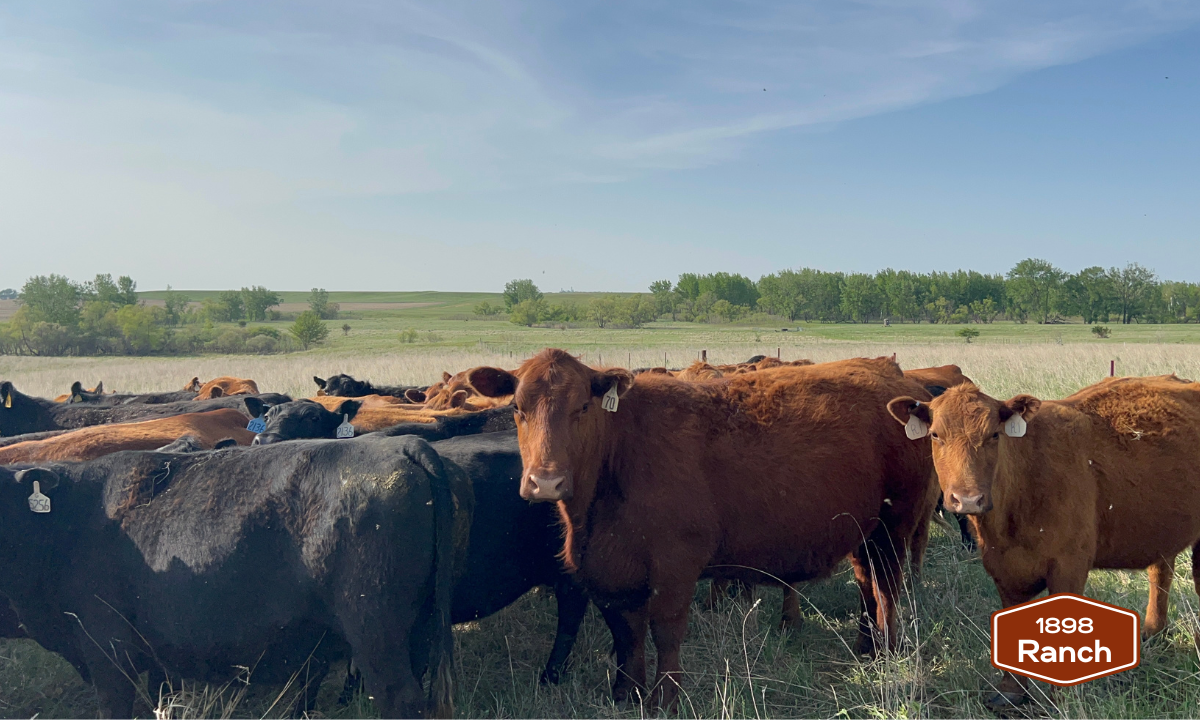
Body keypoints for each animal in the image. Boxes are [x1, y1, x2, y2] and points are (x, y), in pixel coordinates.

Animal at [0, 434, 468, 718]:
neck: (70, 522)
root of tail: (401, 444)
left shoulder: (109, 655)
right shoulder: (158, 659)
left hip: (376, 636)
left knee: (399, 699)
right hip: (416, 633)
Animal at [467, 350, 936, 709]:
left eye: (582, 407)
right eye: (517, 409)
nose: (545, 481)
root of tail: (893, 375)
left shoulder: (675, 565)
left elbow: (665, 632)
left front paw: (666, 700)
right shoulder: (610, 573)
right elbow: (627, 635)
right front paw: (626, 694)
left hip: (895, 523)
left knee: (887, 587)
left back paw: (887, 650)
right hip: (865, 532)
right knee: (867, 583)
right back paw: (866, 646)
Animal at [886, 374, 1200, 710]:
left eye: (994, 435)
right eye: (936, 435)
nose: (967, 499)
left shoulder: (1069, 567)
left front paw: (1063, 696)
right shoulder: (1001, 567)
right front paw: (1010, 691)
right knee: (1160, 572)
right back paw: (1153, 631)